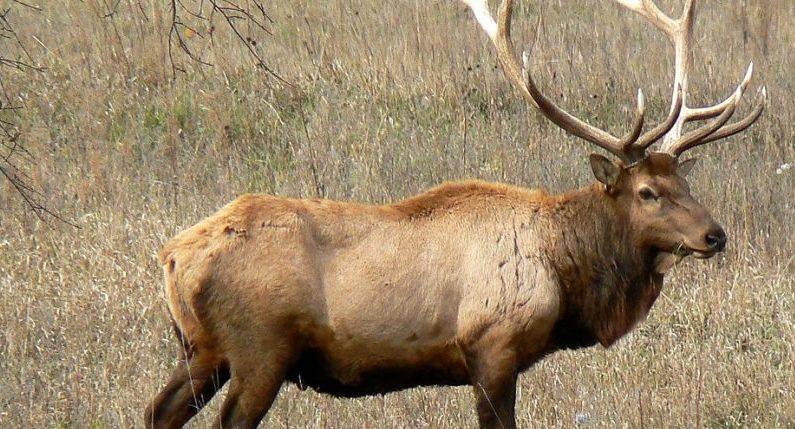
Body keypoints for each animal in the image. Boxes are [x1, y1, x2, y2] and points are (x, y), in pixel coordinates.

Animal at [145, 1, 765, 428]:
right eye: (647, 193)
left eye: (685, 181)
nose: (715, 235)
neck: (565, 274)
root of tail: (172, 257)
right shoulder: (492, 346)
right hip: (259, 347)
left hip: (203, 349)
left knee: (158, 410)